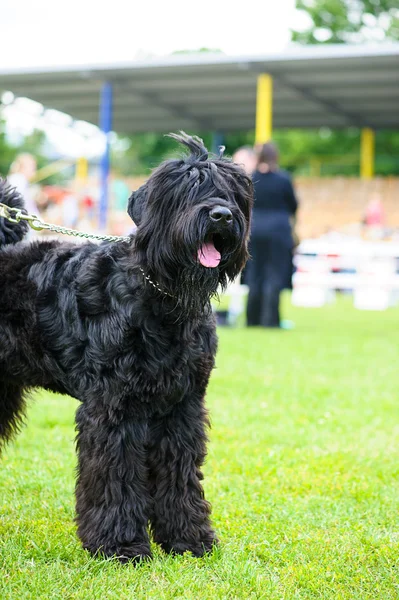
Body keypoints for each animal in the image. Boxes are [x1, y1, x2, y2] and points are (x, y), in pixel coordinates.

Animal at [0, 132, 253, 564]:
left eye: (233, 192)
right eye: (184, 189)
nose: (221, 216)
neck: (162, 300)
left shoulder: (181, 407)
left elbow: (180, 474)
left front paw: (188, 539)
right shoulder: (114, 406)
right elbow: (115, 476)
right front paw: (121, 546)